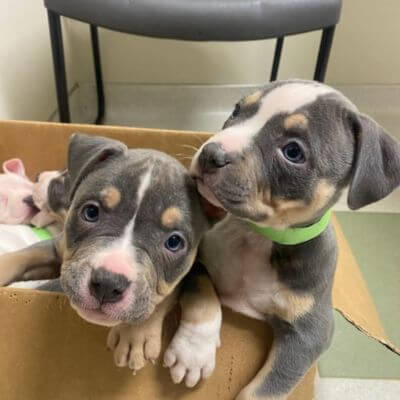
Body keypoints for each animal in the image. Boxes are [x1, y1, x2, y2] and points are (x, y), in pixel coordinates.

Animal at [0, 134, 214, 376]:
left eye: (174, 242)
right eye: (91, 212)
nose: (108, 284)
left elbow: (165, 294)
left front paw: (135, 333)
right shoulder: (57, 247)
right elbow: (22, 256)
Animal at [162, 79, 400, 398]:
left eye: (293, 151)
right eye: (237, 110)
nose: (212, 153)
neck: (257, 236)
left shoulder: (311, 333)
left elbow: (266, 388)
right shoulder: (197, 259)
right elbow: (203, 294)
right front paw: (193, 353)